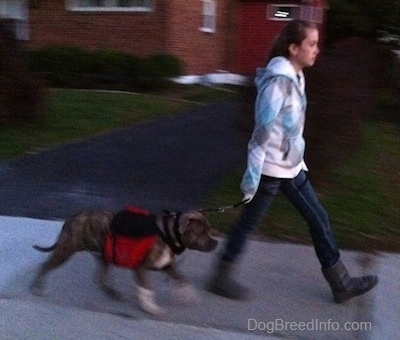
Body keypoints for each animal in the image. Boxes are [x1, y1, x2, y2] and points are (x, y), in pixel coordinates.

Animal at [30, 210, 219, 316]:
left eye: (210, 229)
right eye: (202, 231)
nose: (216, 243)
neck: (168, 234)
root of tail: (69, 219)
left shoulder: (166, 265)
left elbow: (182, 279)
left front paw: (188, 294)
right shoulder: (142, 268)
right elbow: (147, 289)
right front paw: (150, 308)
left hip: (103, 257)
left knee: (100, 278)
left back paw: (114, 294)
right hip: (67, 249)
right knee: (45, 266)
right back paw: (36, 287)